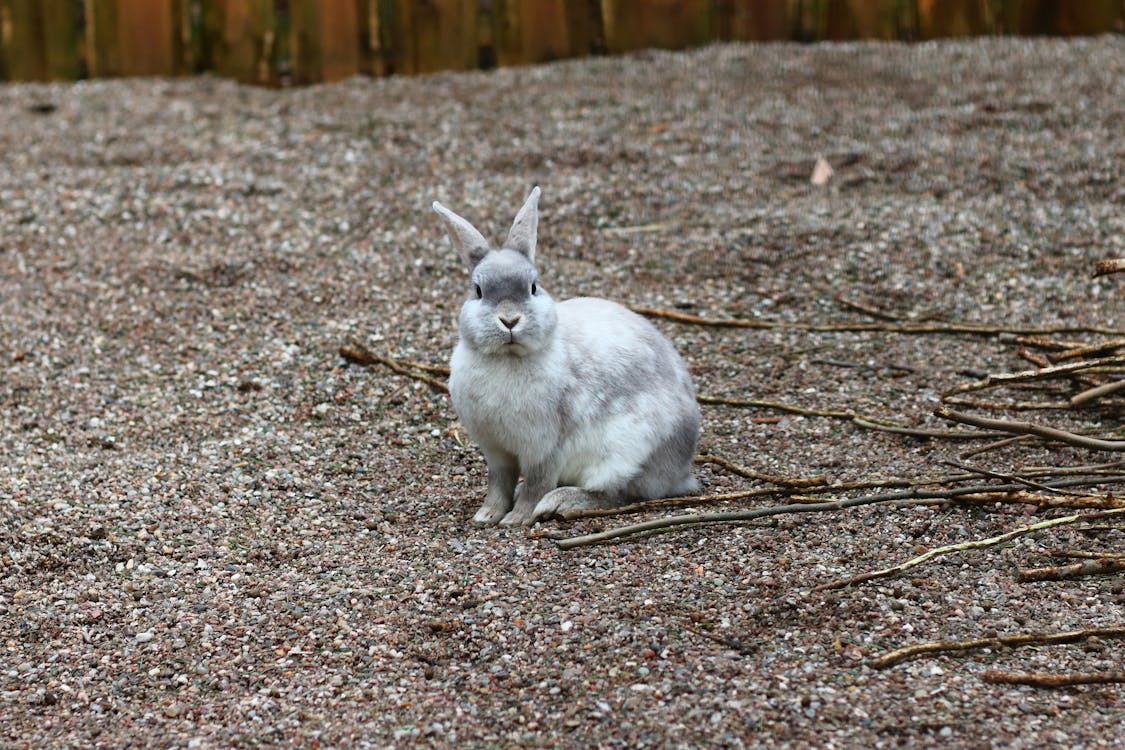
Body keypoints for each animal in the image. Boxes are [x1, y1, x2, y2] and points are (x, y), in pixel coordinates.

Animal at [432, 187, 700, 526]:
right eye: (478, 291)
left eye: (533, 287)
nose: (509, 320)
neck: (508, 357)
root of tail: (681, 470)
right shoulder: (497, 452)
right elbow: (499, 483)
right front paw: (487, 515)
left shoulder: (545, 448)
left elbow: (536, 482)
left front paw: (517, 518)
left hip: (625, 450)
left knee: (616, 493)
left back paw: (559, 502)